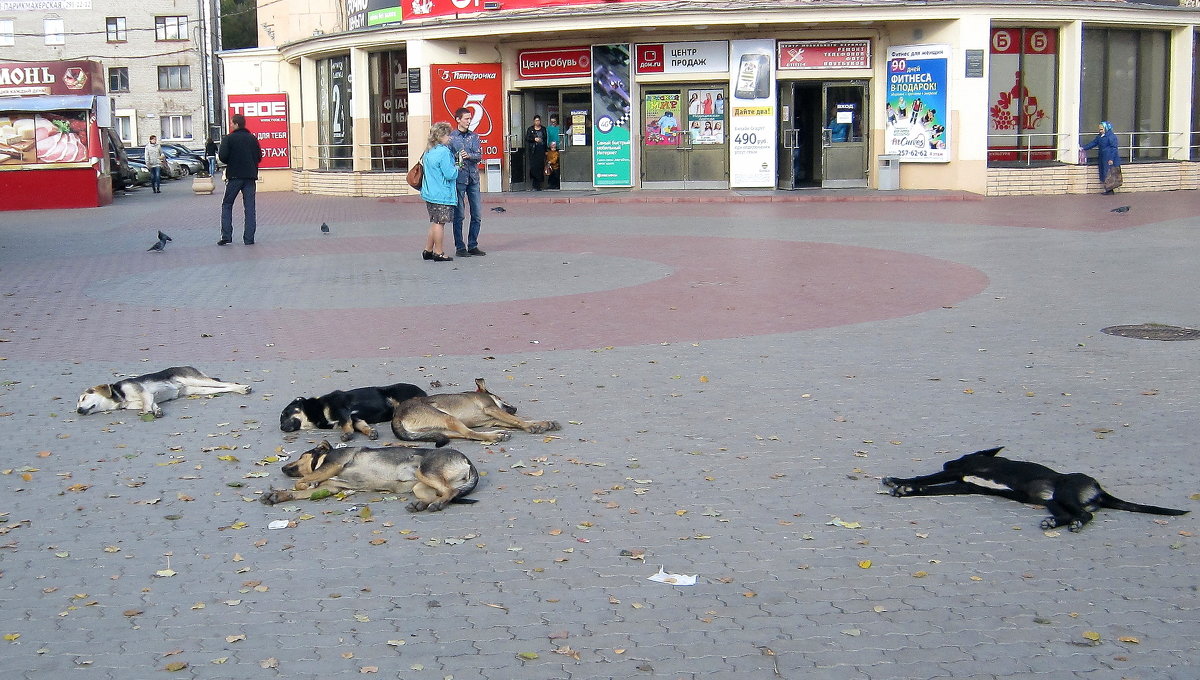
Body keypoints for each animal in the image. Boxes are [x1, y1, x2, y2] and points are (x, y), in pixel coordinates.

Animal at [77, 364, 250, 417]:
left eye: (83, 398)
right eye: (77, 405)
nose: (78, 410)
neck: (120, 397)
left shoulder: (143, 392)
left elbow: (146, 405)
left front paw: (148, 412)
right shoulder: (147, 398)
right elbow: (151, 404)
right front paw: (157, 411)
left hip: (194, 379)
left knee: (226, 383)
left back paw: (243, 387)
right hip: (197, 389)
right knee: (224, 386)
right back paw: (240, 389)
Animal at [259, 438, 477, 513]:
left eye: (300, 456)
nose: (282, 468)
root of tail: (467, 461)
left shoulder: (333, 464)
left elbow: (302, 482)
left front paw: (303, 484)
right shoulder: (329, 487)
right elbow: (300, 490)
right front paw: (278, 495)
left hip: (425, 471)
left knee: (450, 491)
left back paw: (436, 505)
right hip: (419, 486)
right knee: (444, 492)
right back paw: (421, 504)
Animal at [279, 383, 427, 441]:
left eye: (285, 413)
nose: (281, 427)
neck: (316, 411)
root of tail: (423, 392)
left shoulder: (342, 410)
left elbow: (346, 424)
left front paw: (347, 434)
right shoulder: (354, 417)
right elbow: (360, 425)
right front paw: (370, 432)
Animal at [391, 378, 564, 446]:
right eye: (500, 397)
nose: (515, 408)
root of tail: (396, 417)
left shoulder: (494, 419)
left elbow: (519, 420)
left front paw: (545, 423)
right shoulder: (491, 408)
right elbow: (518, 420)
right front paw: (532, 426)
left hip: (442, 427)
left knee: (463, 434)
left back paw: (498, 433)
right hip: (447, 417)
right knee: (469, 433)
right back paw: (495, 436)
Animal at [883, 446, 1190, 532]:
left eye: (959, 456)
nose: (947, 461)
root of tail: (1100, 490)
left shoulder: (959, 473)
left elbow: (926, 478)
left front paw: (901, 483)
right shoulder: (962, 485)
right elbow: (932, 487)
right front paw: (907, 489)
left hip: (1065, 492)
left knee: (1086, 515)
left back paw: (1074, 524)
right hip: (1053, 501)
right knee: (1071, 514)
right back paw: (1054, 522)